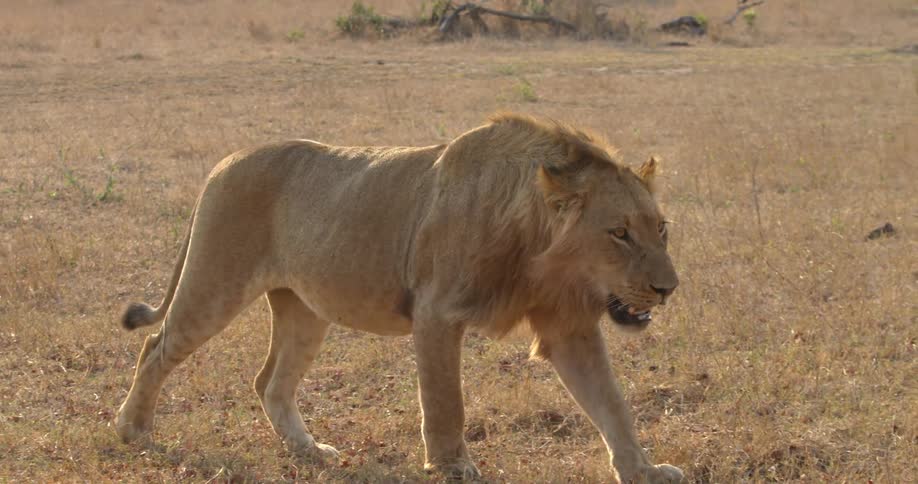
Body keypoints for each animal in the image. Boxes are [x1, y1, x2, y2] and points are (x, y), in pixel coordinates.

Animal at [115, 113, 683, 483]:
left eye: (661, 228)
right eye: (619, 234)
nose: (668, 288)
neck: (540, 253)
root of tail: (226, 160)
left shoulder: (569, 327)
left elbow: (612, 403)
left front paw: (643, 470)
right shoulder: (436, 312)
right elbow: (445, 401)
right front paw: (453, 467)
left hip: (305, 309)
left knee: (270, 381)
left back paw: (310, 452)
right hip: (215, 283)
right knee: (155, 347)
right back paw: (132, 430)